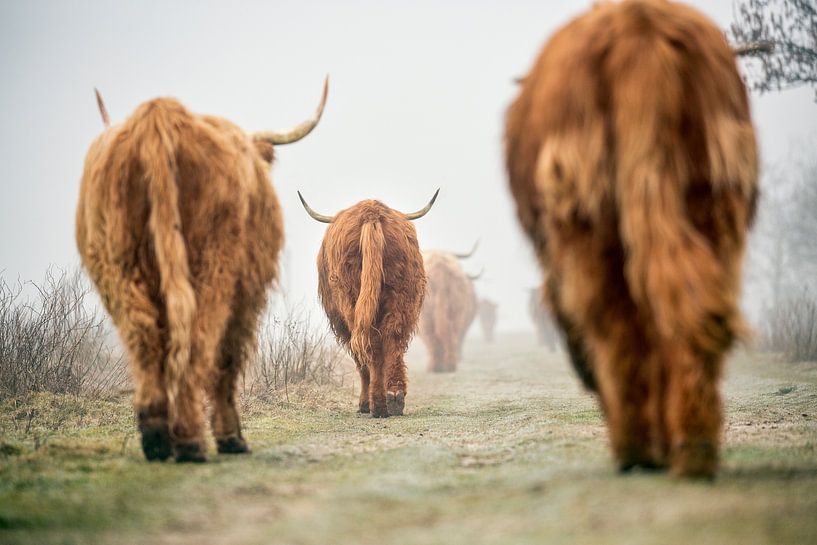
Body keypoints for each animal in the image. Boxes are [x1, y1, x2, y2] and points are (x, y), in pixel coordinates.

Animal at [74, 77, 328, 460]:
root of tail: (158, 115)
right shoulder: (246, 293)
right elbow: (227, 358)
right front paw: (231, 437)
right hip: (213, 267)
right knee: (199, 339)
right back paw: (192, 440)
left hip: (121, 268)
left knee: (143, 336)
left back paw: (157, 438)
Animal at [294, 190, 434, 416]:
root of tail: (371, 213)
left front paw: (364, 404)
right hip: (402, 294)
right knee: (393, 336)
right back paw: (394, 397)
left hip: (350, 301)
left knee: (369, 343)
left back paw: (376, 404)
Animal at [504, 0, 760, 476]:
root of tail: (638, 26)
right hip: (717, 197)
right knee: (692, 306)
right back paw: (693, 448)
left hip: (587, 216)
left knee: (617, 320)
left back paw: (637, 449)